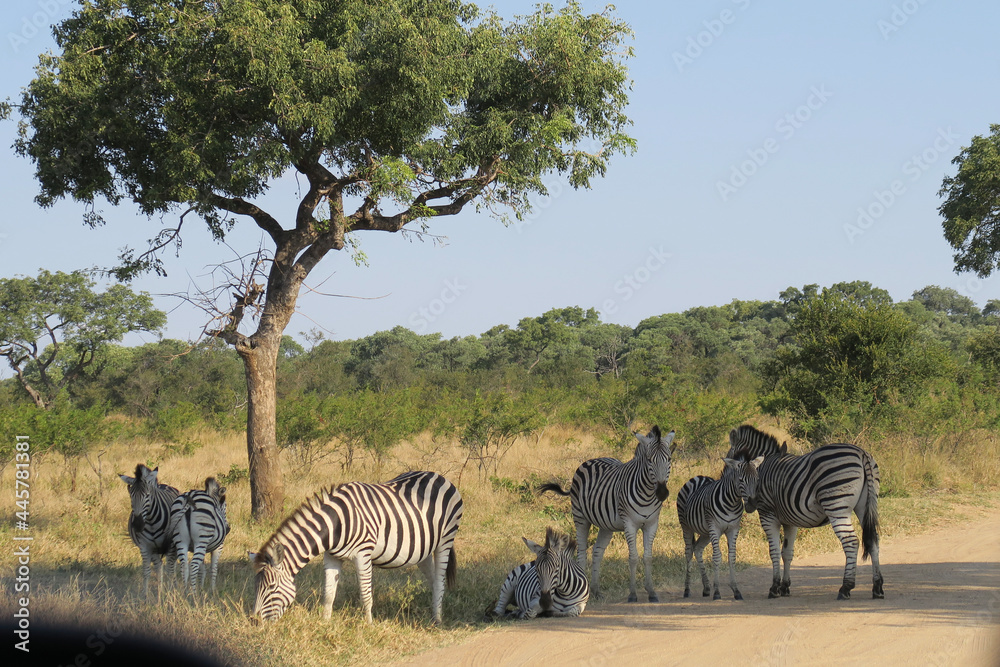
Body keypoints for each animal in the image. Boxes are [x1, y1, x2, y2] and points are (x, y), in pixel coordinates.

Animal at [120, 463, 180, 600]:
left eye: (147, 495)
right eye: (131, 496)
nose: (137, 525)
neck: (152, 522)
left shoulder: (170, 545)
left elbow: (170, 570)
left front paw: (170, 596)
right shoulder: (145, 546)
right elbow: (146, 571)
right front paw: (145, 597)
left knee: (172, 567)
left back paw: (172, 589)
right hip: (154, 549)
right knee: (158, 566)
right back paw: (160, 592)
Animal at [249, 470, 463, 624]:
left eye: (271, 587)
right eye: (256, 586)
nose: (254, 621)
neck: (335, 524)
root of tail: (438, 475)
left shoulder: (363, 554)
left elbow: (365, 594)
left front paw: (369, 626)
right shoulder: (331, 556)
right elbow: (328, 593)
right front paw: (325, 623)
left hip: (445, 540)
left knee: (440, 579)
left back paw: (437, 620)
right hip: (422, 549)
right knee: (434, 579)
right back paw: (433, 612)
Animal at [538, 426, 676, 602]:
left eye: (669, 459)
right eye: (649, 460)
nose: (662, 492)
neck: (648, 495)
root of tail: (591, 460)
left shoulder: (652, 524)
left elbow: (648, 557)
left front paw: (651, 592)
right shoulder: (629, 524)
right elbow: (633, 557)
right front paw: (632, 594)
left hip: (606, 525)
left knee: (597, 552)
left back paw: (596, 590)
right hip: (580, 517)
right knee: (582, 552)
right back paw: (583, 589)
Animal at [676, 453, 764, 600]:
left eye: (757, 479)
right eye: (741, 480)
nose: (752, 505)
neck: (731, 502)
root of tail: (698, 476)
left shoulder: (733, 529)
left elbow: (732, 557)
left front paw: (736, 590)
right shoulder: (715, 528)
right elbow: (717, 557)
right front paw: (717, 592)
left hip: (705, 532)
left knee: (697, 549)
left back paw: (706, 588)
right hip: (687, 526)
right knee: (688, 552)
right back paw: (687, 590)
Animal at [734, 425, 884, 600]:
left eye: (740, 476)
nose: (750, 505)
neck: (766, 464)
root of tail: (861, 454)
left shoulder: (767, 514)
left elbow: (774, 551)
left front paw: (774, 588)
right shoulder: (790, 520)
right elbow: (787, 552)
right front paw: (785, 587)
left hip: (836, 505)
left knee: (851, 541)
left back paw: (845, 588)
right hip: (865, 504)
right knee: (873, 540)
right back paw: (877, 587)